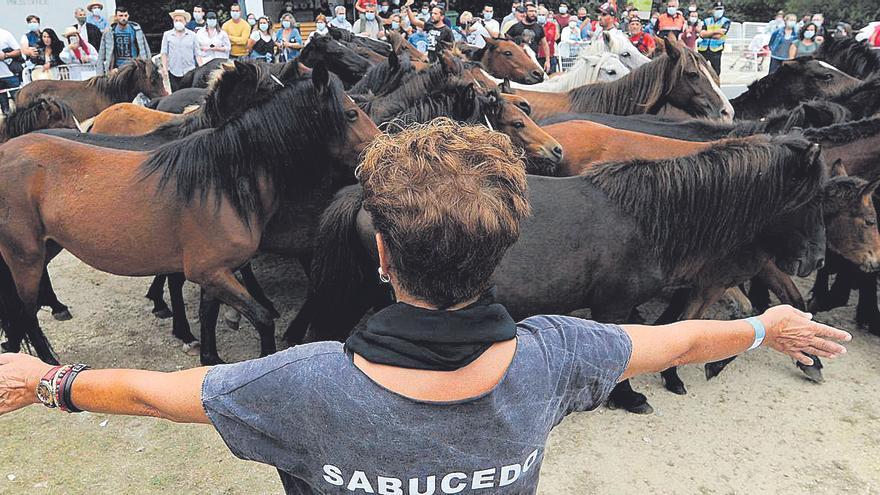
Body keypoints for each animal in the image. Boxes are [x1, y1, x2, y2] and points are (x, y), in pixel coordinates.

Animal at [0, 66, 376, 366]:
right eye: (351, 114)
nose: (381, 145)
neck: (222, 180)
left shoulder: (216, 272)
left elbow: (207, 313)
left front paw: (210, 356)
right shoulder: (210, 271)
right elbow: (261, 318)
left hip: (47, 246)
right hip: (25, 257)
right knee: (25, 310)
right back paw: (46, 361)